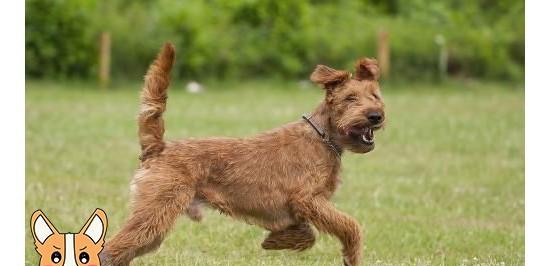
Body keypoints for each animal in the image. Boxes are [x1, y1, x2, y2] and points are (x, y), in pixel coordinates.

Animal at [102, 42, 388, 264]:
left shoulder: (300, 208)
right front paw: (350, 255)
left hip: (155, 221)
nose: (376, 116)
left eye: (375, 96)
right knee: (112, 250)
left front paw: (277, 241)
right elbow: (350, 225)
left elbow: (307, 233)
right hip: (156, 211)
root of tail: (158, 147)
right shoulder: (307, 199)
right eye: (350, 98)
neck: (323, 137)